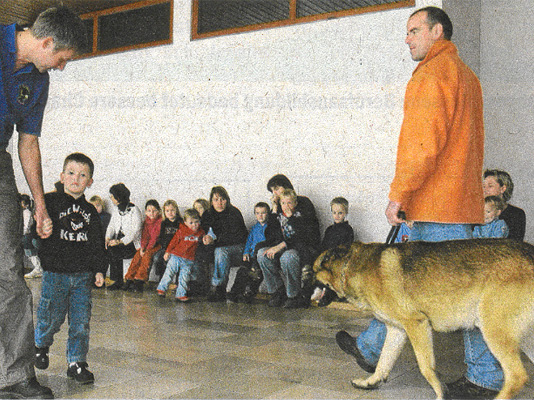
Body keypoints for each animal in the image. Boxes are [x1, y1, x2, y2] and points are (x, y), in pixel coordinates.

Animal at [314, 239, 534, 398]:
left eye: (313, 271)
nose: (304, 278)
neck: (351, 266)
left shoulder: (417, 325)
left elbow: (426, 368)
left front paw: (441, 393)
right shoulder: (397, 331)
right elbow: (384, 361)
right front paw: (371, 382)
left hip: (493, 332)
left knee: (517, 377)